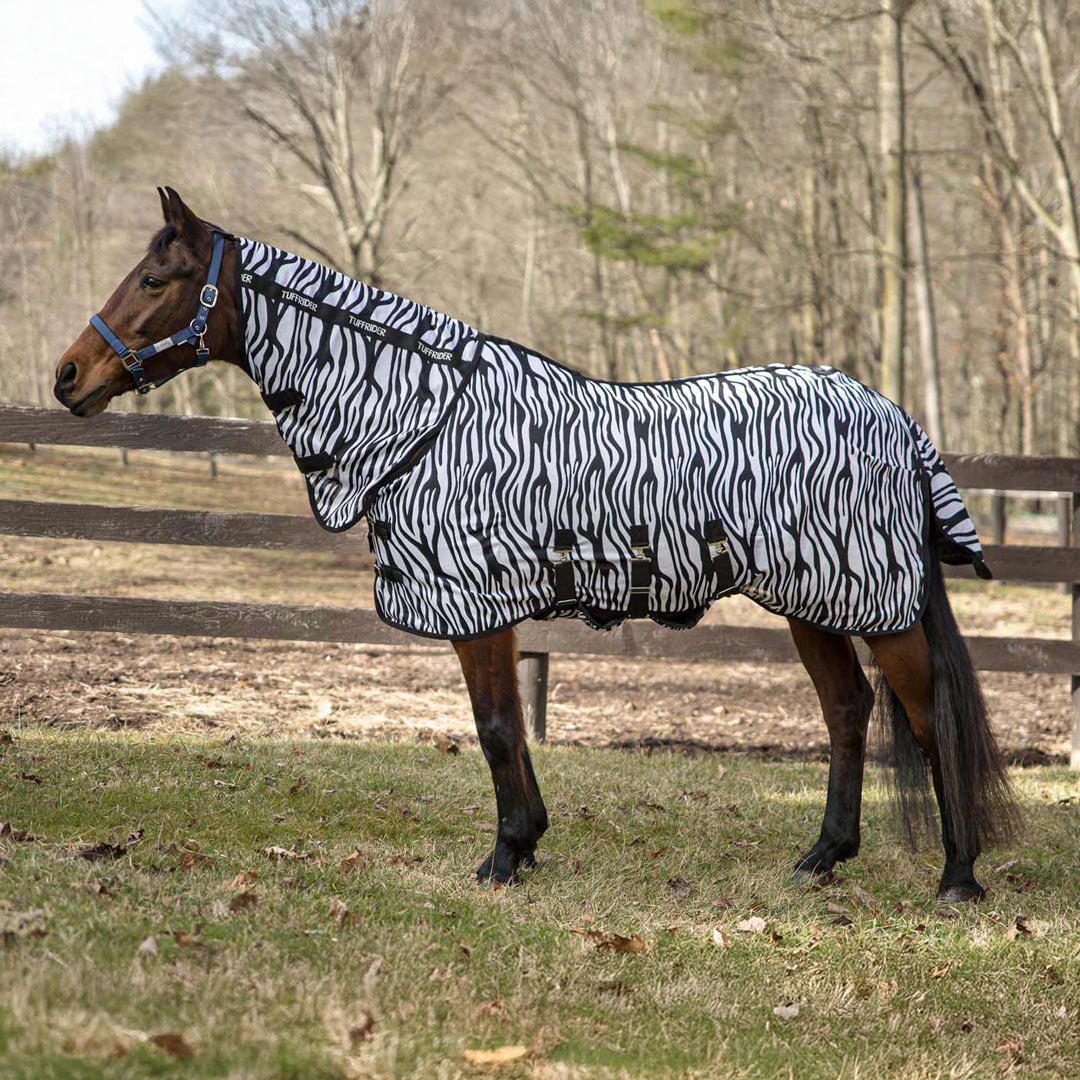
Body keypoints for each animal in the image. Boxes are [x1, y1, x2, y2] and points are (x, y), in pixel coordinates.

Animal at [53, 187, 1018, 901]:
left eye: (154, 278)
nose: (67, 377)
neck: (421, 420)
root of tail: (892, 416)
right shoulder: (493, 610)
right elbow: (510, 725)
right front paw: (526, 844)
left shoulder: (477, 606)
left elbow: (492, 728)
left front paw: (505, 857)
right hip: (810, 599)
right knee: (847, 710)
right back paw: (822, 859)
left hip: (876, 605)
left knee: (928, 717)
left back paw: (957, 876)